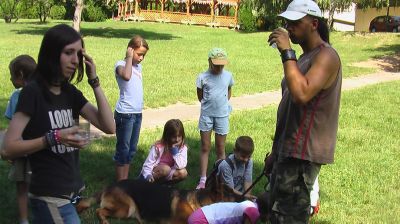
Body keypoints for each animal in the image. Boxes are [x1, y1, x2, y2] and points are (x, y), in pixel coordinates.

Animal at [76, 178, 242, 223]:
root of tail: (109, 186)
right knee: (99, 210)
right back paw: (104, 221)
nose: (245, 197)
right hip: (126, 208)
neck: (199, 204)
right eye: (231, 195)